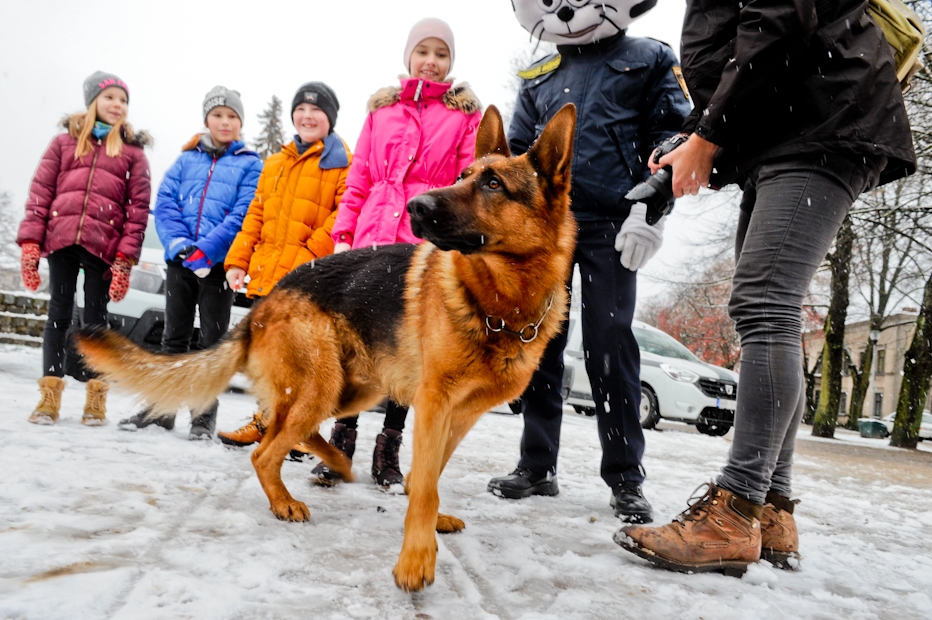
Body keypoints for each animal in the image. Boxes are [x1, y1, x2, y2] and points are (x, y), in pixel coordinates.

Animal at [74, 103, 576, 592]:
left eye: (493, 184)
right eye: (463, 175)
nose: (415, 206)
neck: (499, 305)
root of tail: (265, 300)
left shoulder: (460, 414)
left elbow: (429, 475)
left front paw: (427, 521)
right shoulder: (435, 405)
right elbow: (427, 485)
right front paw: (415, 559)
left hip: (353, 390)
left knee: (289, 430)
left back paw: (333, 461)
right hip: (323, 384)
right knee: (266, 451)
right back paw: (285, 501)